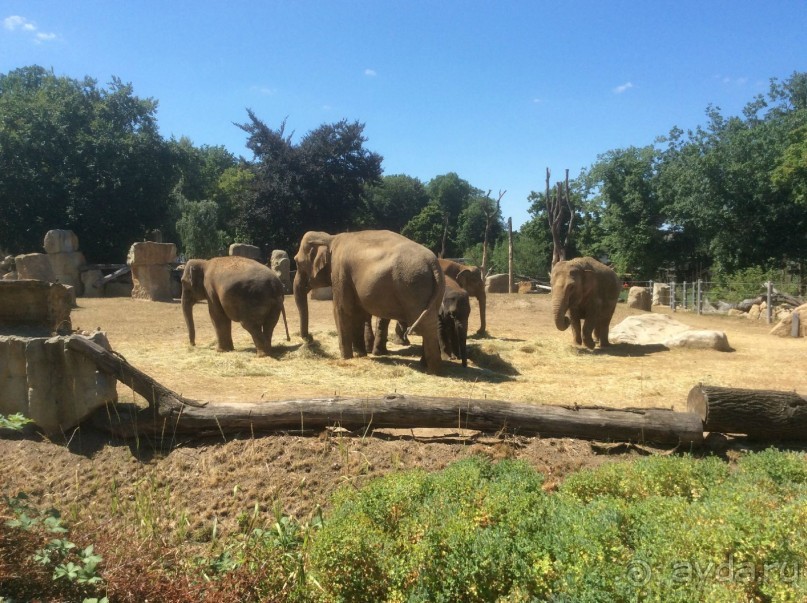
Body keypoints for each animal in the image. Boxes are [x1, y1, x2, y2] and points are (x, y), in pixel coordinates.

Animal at [294, 230, 446, 372]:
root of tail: (434, 265)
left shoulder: (340, 272)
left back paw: (432, 370)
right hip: (432, 290)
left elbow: (342, 310)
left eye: (296, 262)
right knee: (430, 321)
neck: (330, 238)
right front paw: (360, 355)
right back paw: (426, 365)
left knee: (424, 325)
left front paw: (346, 358)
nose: (310, 338)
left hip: (413, 286)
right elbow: (358, 313)